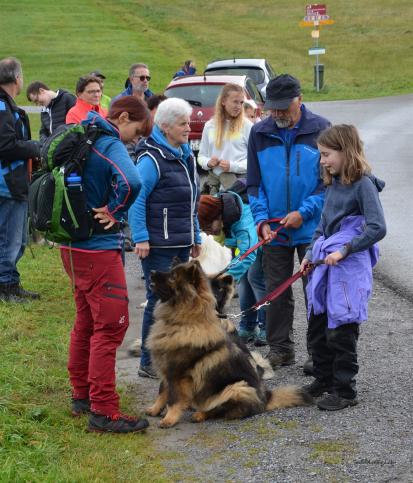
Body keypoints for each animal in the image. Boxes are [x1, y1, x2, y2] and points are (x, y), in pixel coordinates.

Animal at [146, 260, 310, 428]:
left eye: (173, 276)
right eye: (170, 271)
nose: (151, 272)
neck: (184, 323)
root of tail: (266, 397)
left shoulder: (178, 374)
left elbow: (173, 399)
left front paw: (169, 419)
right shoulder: (166, 369)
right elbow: (162, 392)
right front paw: (154, 410)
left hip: (236, 387)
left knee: (218, 409)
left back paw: (199, 414)